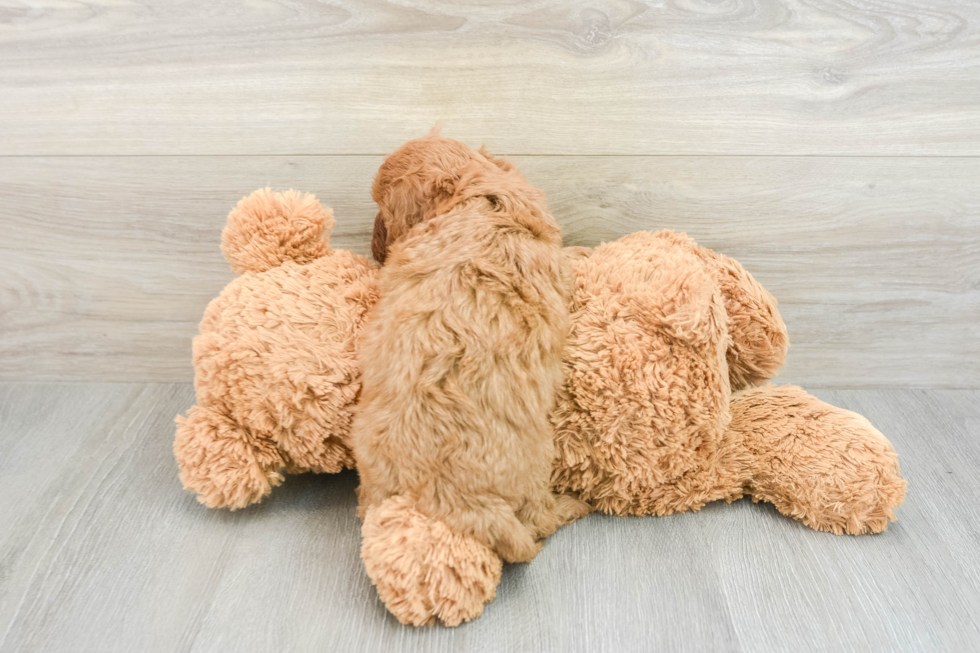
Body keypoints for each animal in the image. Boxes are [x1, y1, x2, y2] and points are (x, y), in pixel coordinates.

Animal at [350, 135, 584, 572]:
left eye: (381, 209)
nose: (372, 248)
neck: (476, 192)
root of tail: (453, 497)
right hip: (537, 465)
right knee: (539, 521)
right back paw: (572, 506)